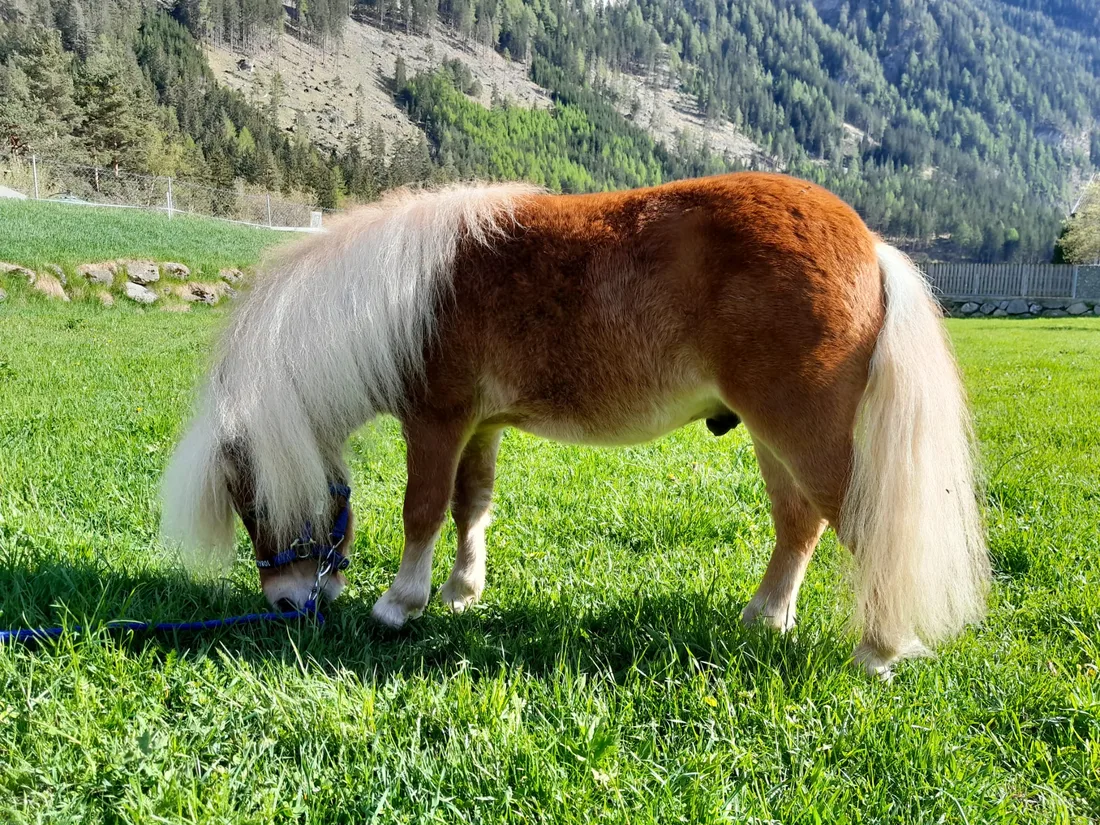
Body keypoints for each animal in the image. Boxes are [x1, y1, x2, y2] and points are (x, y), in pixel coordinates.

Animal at [161, 172, 989, 676]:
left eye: (252, 501)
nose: (287, 603)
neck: (401, 296)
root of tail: (871, 246)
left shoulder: (436, 419)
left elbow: (421, 508)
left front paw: (401, 604)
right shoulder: (482, 426)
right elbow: (470, 506)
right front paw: (461, 589)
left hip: (802, 430)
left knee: (858, 521)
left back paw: (879, 648)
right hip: (771, 435)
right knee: (799, 524)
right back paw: (766, 616)